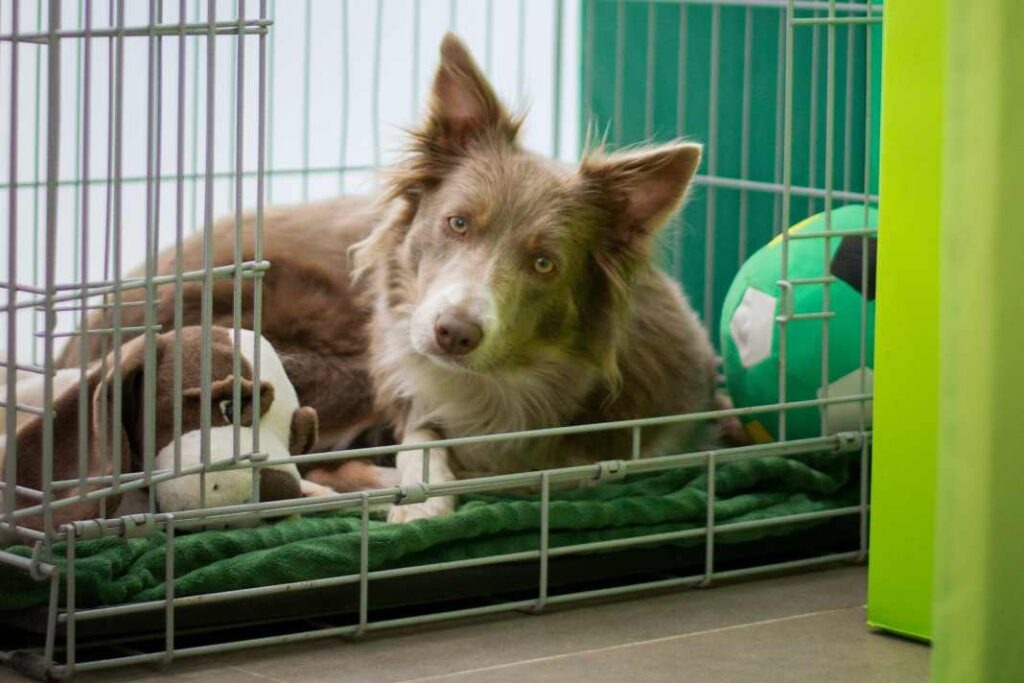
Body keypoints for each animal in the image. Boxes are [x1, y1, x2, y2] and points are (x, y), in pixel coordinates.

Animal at [58, 31, 729, 524]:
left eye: (545, 263)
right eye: (457, 222)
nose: (453, 333)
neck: (505, 387)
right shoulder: (405, 376)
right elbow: (421, 441)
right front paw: (424, 494)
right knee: (319, 465)